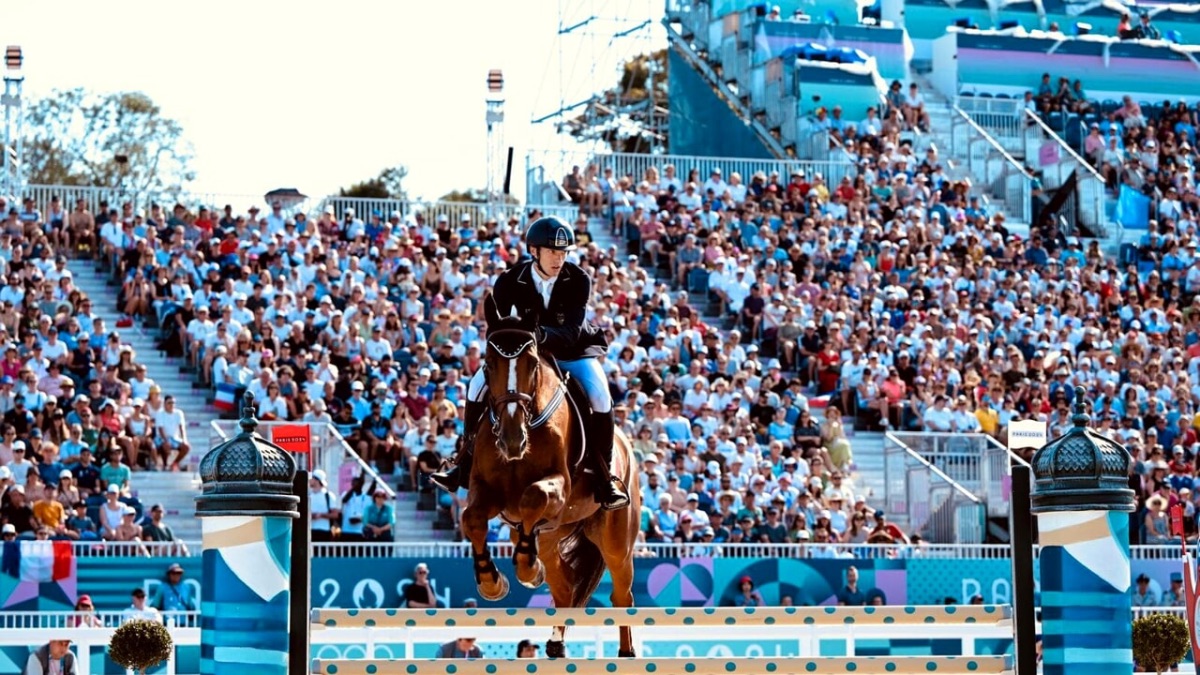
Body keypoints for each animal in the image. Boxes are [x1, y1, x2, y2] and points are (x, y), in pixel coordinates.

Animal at [458, 324, 643, 653]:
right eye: (489, 365)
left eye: (532, 364)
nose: (512, 440)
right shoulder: (486, 489)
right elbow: (473, 518)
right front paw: (493, 582)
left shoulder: (558, 486)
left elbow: (535, 495)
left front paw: (527, 572)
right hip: (548, 538)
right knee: (565, 586)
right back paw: (555, 641)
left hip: (616, 541)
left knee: (622, 595)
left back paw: (626, 652)